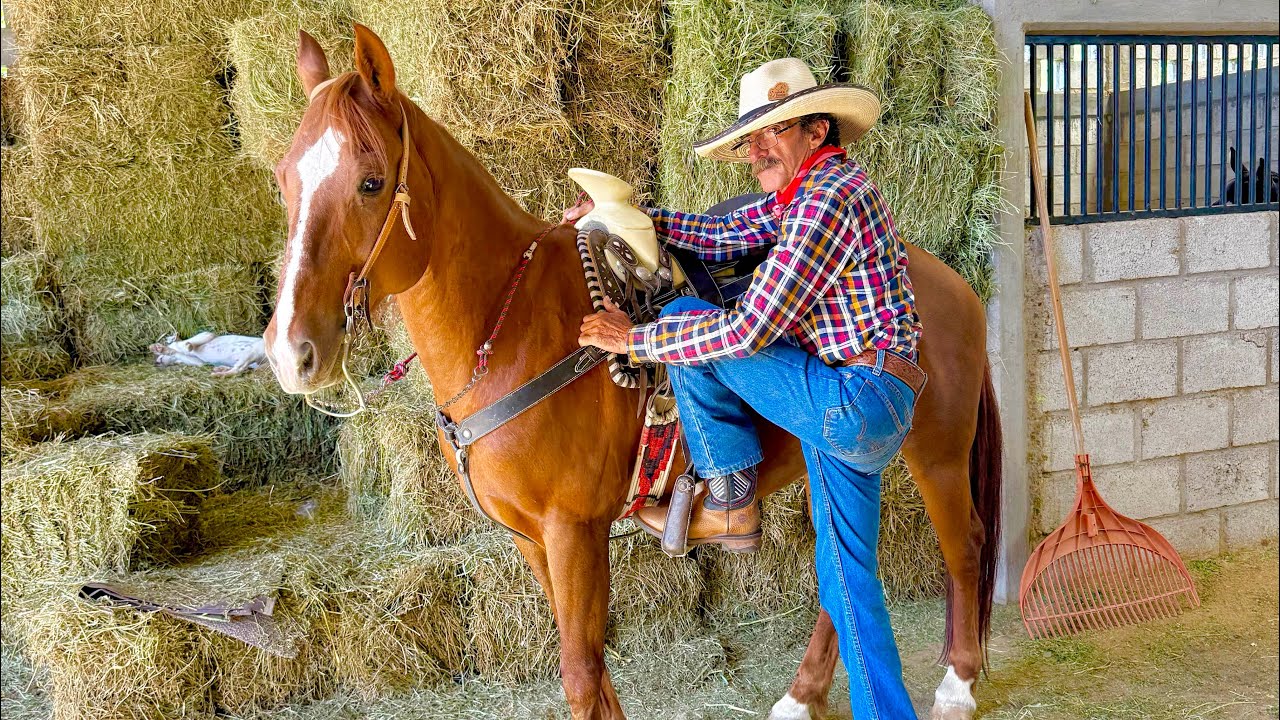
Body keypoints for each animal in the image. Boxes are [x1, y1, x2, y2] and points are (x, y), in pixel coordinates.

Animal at [263, 24, 1002, 720]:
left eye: (370, 181)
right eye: (284, 178)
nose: (290, 353)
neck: (512, 329)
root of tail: (948, 281)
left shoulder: (573, 530)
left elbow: (581, 672)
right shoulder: (533, 540)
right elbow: (592, 671)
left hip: (935, 453)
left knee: (964, 546)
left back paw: (959, 684)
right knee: (842, 582)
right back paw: (803, 694)